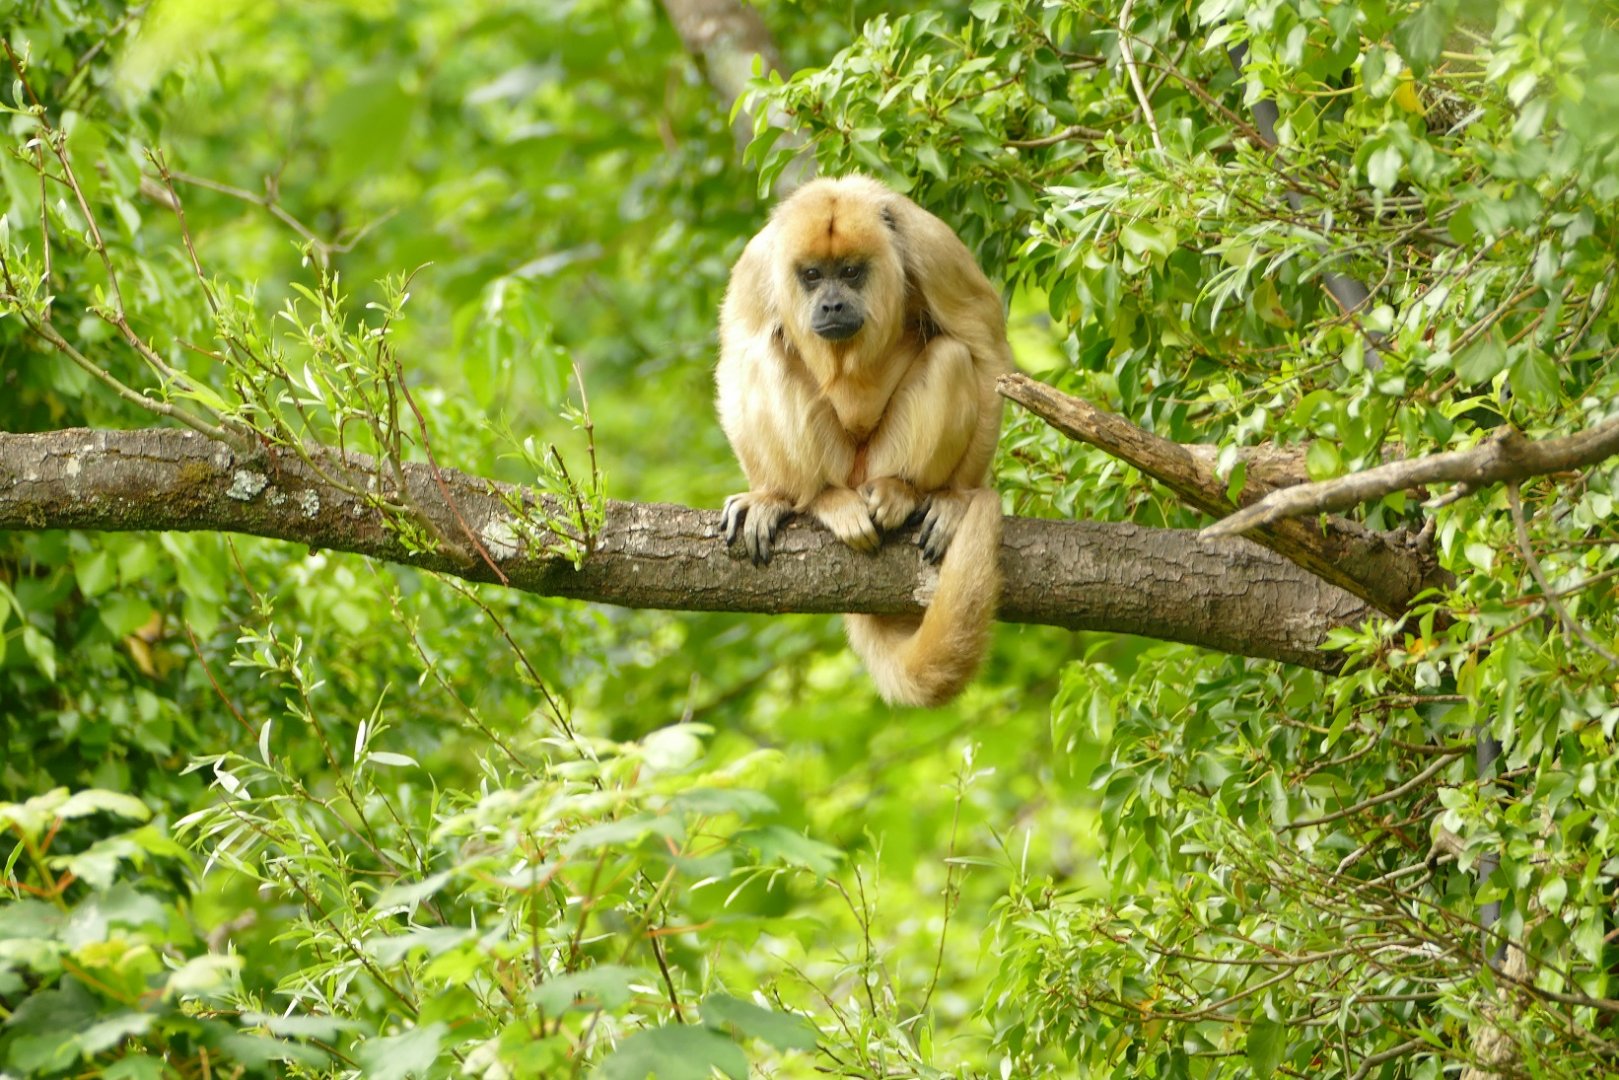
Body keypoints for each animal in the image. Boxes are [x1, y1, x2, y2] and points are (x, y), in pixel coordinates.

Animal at [714, 175, 1010, 707]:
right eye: (812, 275)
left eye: (851, 272)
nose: (831, 303)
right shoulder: (756, 265)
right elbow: (735, 359)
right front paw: (767, 496)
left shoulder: (932, 247)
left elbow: (986, 354)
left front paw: (955, 499)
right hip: (835, 462)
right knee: (762, 352)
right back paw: (816, 499)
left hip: (877, 459)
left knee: (952, 355)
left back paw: (902, 490)